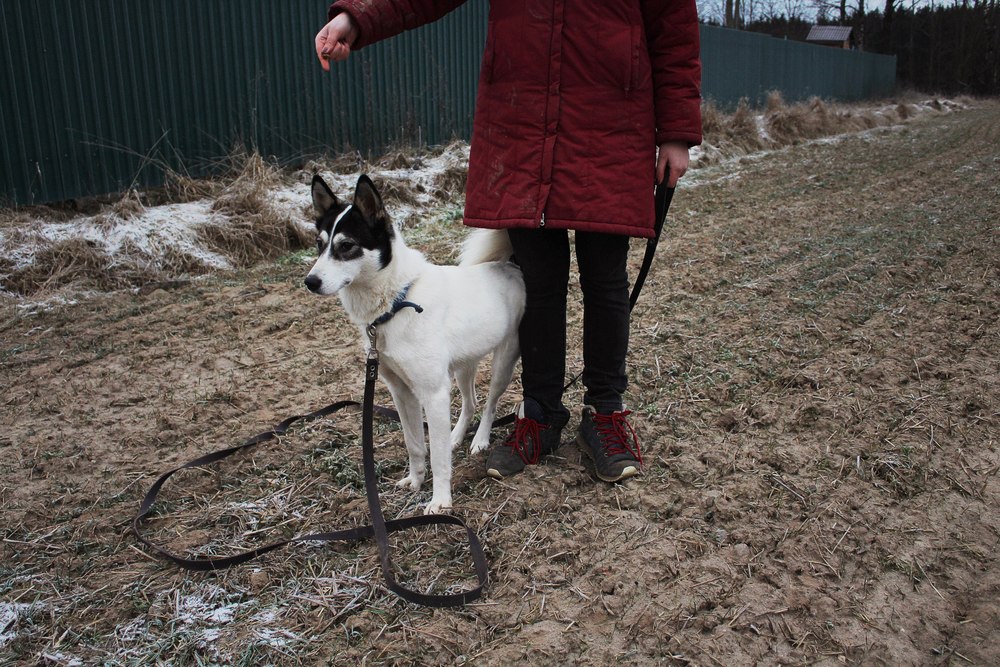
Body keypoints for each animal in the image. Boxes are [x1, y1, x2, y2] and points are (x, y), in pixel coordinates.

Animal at [302, 175, 524, 516]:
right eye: (319, 244)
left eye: (346, 246)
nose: (310, 282)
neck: (398, 300)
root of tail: (511, 266)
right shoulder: (401, 391)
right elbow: (415, 444)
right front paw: (416, 481)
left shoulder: (433, 394)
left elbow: (439, 456)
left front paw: (440, 500)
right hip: (462, 367)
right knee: (471, 402)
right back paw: (458, 435)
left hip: (504, 361)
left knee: (489, 403)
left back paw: (480, 440)